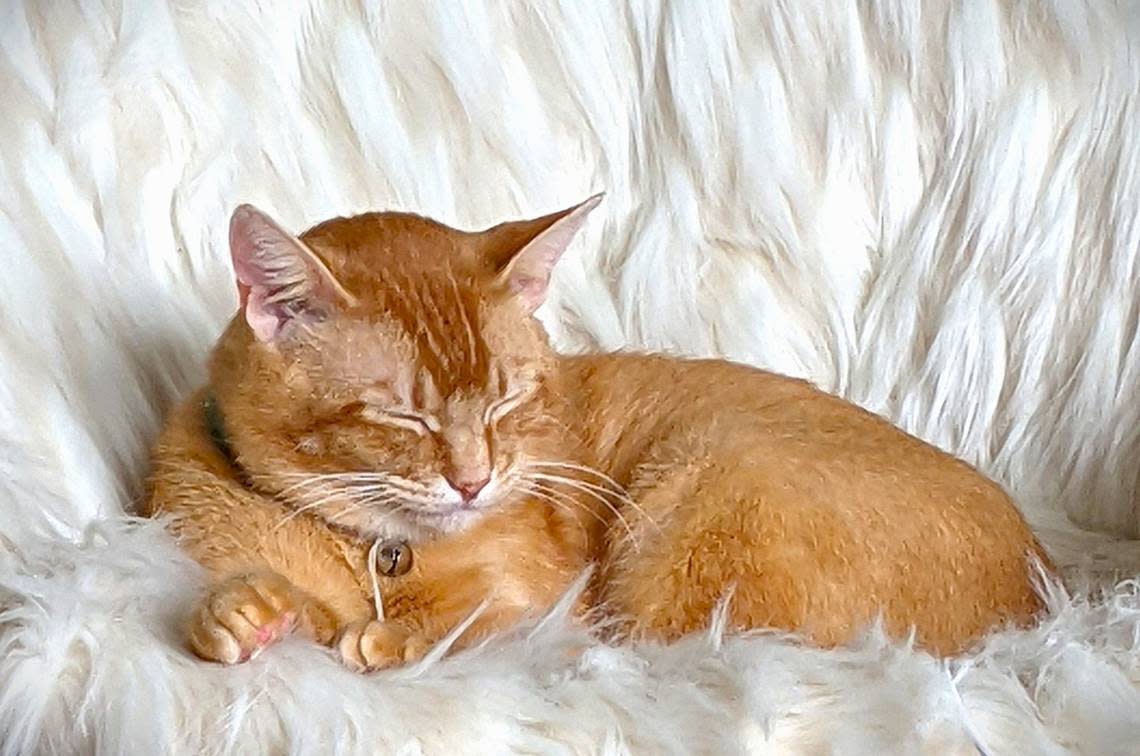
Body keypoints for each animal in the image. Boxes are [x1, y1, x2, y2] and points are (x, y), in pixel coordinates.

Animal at [142, 194, 1048, 670]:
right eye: (405, 415)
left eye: (505, 402)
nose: (472, 481)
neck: (379, 555)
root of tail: (1036, 600)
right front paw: (247, 613)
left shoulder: (544, 604)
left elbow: (475, 623)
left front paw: (385, 638)